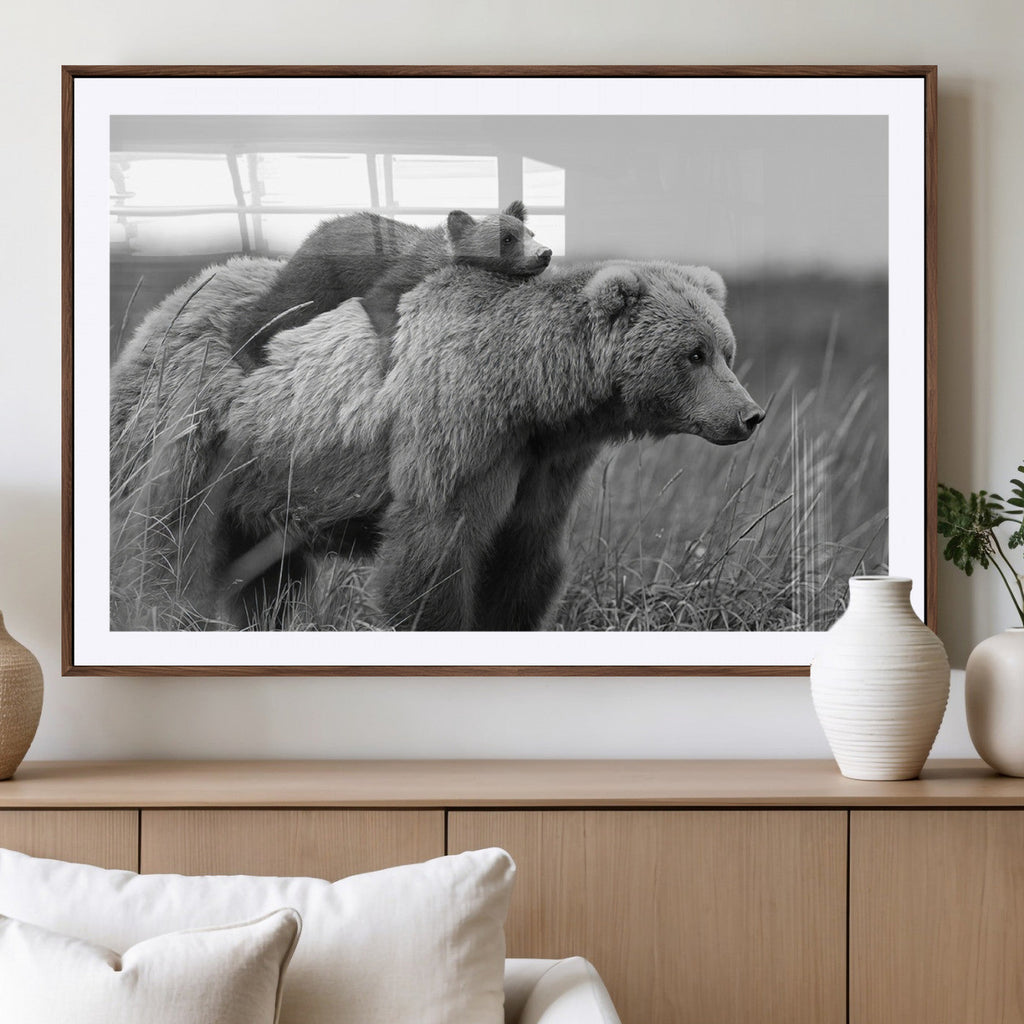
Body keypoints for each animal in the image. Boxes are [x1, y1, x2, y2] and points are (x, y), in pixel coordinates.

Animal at [108, 254, 764, 632]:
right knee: (162, 533)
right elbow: (434, 548)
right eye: (694, 354)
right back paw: (154, 609)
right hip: (194, 425)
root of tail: (175, 298)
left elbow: (525, 557)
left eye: (726, 350)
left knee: (268, 574)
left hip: (269, 473)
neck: (533, 391)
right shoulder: (457, 428)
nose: (750, 415)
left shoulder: (546, 462)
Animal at [227, 200, 552, 371]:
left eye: (530, 232)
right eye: (507, 239)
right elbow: (380, 300)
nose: (545, 253)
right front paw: (388, 358)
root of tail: (312, 233)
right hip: (318, 279)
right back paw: (248, 352)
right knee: (282, 305)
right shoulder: (399, 274)